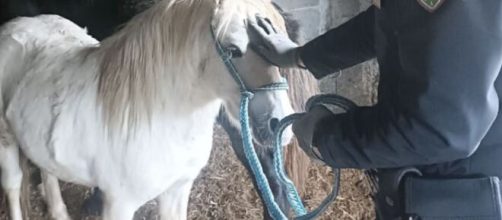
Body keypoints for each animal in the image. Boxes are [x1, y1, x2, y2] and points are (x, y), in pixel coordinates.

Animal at [0, 0, 294, 219]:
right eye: (232, 49)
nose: (278, 122)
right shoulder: (119, 204)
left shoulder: (178, 190)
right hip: (6, 140)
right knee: (13, 185)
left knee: (47, 170)